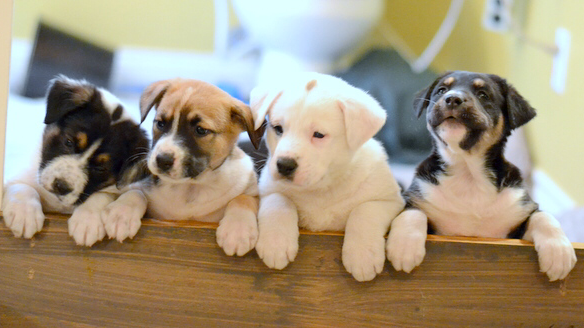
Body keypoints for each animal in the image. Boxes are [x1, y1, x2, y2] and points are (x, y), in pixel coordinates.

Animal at [2, 75, 148, 246]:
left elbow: (106, 195)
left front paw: (88, 221)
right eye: (69, 142)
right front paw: (24, 213)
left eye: (101, 168)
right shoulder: (19, 177)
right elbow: (22, 187)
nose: (60, 186)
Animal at [102, 79, 262, 256]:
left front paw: (237, 231)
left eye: (201, 130)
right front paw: (121, 215)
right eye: (160, 123)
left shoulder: (252, 192)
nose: (162, 160)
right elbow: (136, 192)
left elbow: (243, 199)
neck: (190, 186)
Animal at [251, 72, 406, 282]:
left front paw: (362, 255)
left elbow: (364, 211)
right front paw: (276, 242)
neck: (321, 188)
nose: (284, 165)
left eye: (318, 134)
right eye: (278, 129)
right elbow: (279, 201)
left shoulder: (389, 200)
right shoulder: (267, 190)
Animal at [386, 70, 576, 280]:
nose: (452, 99)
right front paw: (404, 247)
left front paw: (559, 253)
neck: (468, 172)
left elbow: (543, 217)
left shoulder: (517, 222)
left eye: (483, 95)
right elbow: (411, 212)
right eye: (441, 90)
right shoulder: (413, 199)